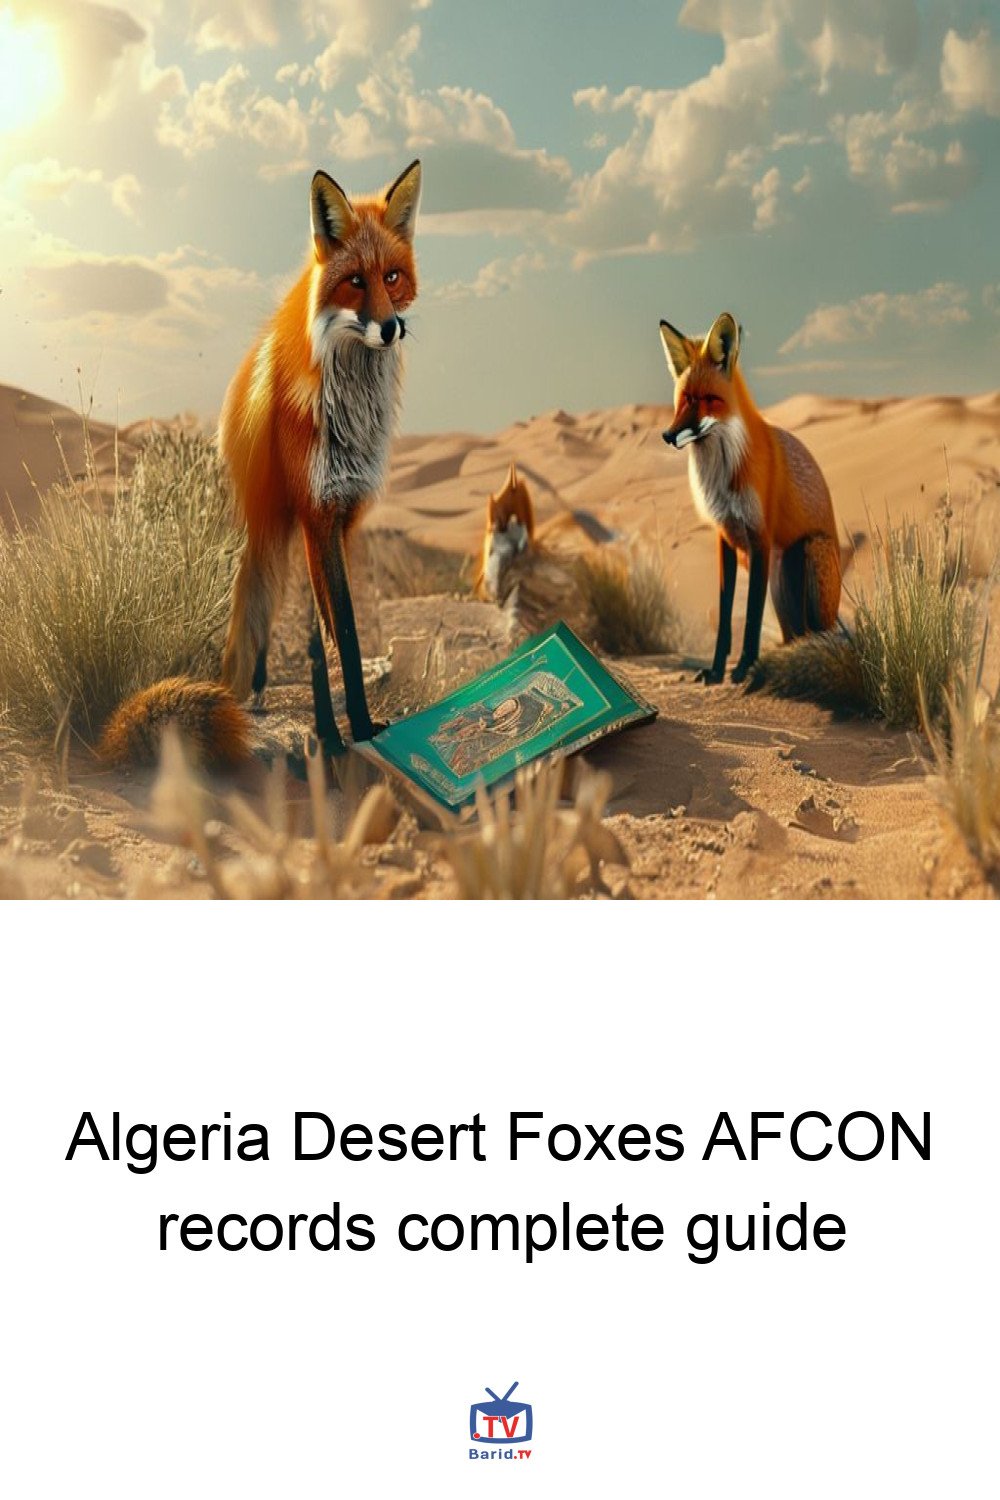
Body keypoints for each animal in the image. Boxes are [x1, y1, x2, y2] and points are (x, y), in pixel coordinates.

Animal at [659, 311, 841, 684]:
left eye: (706, 399)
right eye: (682, 399)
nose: (667, 435)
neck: (723, 477)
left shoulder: (760, 536)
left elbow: (752, 619)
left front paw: (743, 668)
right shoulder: (725, 536)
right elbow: (726, 615)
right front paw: (716, 671)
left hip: (808, 553)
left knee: (819, 635)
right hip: (780, 578)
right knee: (793, 634)